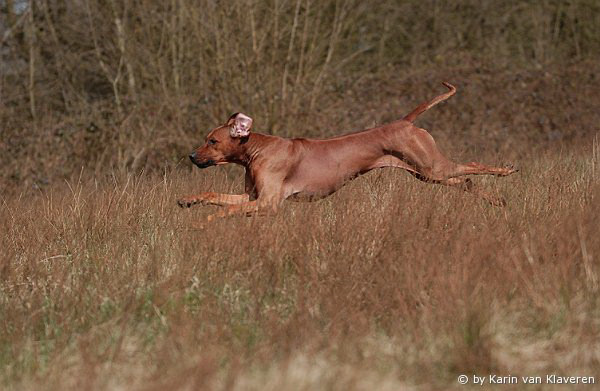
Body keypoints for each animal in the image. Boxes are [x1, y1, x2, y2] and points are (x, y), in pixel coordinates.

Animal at [177, 83, 516, 222]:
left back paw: (507, 171)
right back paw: (497, 200)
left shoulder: (269, 203)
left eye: (212, 141)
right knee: (466, 181)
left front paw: (208, 221)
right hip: (427, 174)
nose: (192, 156)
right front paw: (188, 200)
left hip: (433, 168)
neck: (257, 149)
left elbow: (224, 211)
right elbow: (212, 195)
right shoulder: (252, 197)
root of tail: (405, 121)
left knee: (472, 165)